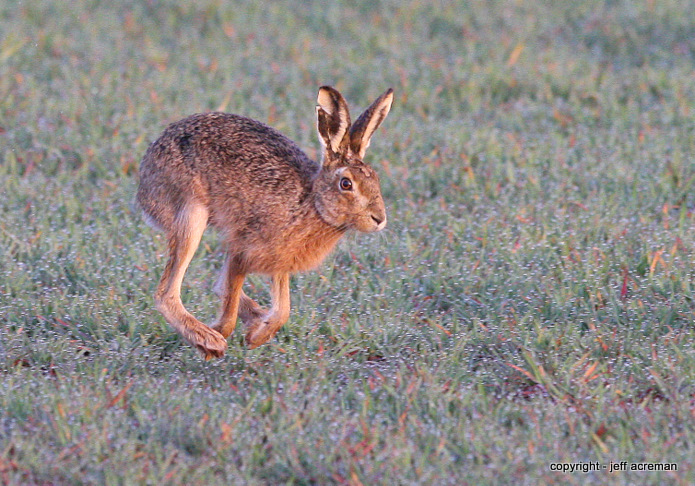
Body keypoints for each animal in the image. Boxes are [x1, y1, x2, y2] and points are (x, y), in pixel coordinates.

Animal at [137, 86, 394, 359]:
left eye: (375, 179)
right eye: (346, 184)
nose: (379, 219)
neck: (313, 203)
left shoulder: (279, 262)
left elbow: (283, 308)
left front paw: (257, 336)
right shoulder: (243, 249)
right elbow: (231, 300)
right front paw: (219, 340)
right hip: (190, 214)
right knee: (167, 293)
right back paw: (208, 338)